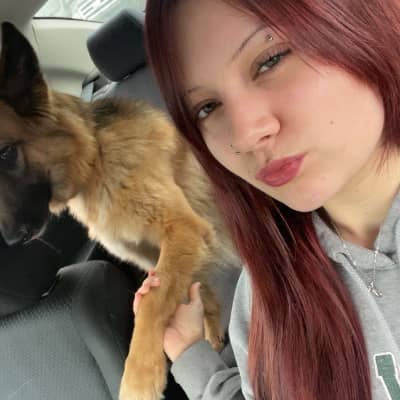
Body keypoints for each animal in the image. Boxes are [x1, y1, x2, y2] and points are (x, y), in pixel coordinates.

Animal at [0, 22, 240, 400]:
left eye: (6, 153)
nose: (11, 241)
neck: (96, 158)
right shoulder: (154, 254)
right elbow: (193, 290)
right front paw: (208, 330)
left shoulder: (183, 229)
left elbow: (153, 303)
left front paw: (139, 378)